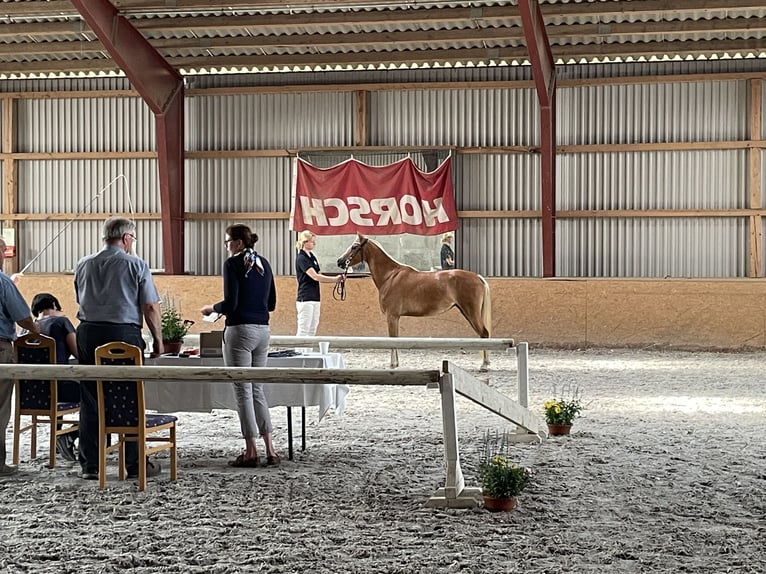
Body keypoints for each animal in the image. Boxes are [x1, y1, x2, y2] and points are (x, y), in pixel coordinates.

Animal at [336, 236, 492, 372]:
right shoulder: (395, 317)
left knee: (484, 333)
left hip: (471, 313)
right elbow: (396, 338)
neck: (390, 276)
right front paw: (396, 363)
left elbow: (392, 339)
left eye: (354, 247)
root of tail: (477, 277)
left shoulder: (392, 316)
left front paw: (393, 364)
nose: (339, 261)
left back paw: (484, 365)